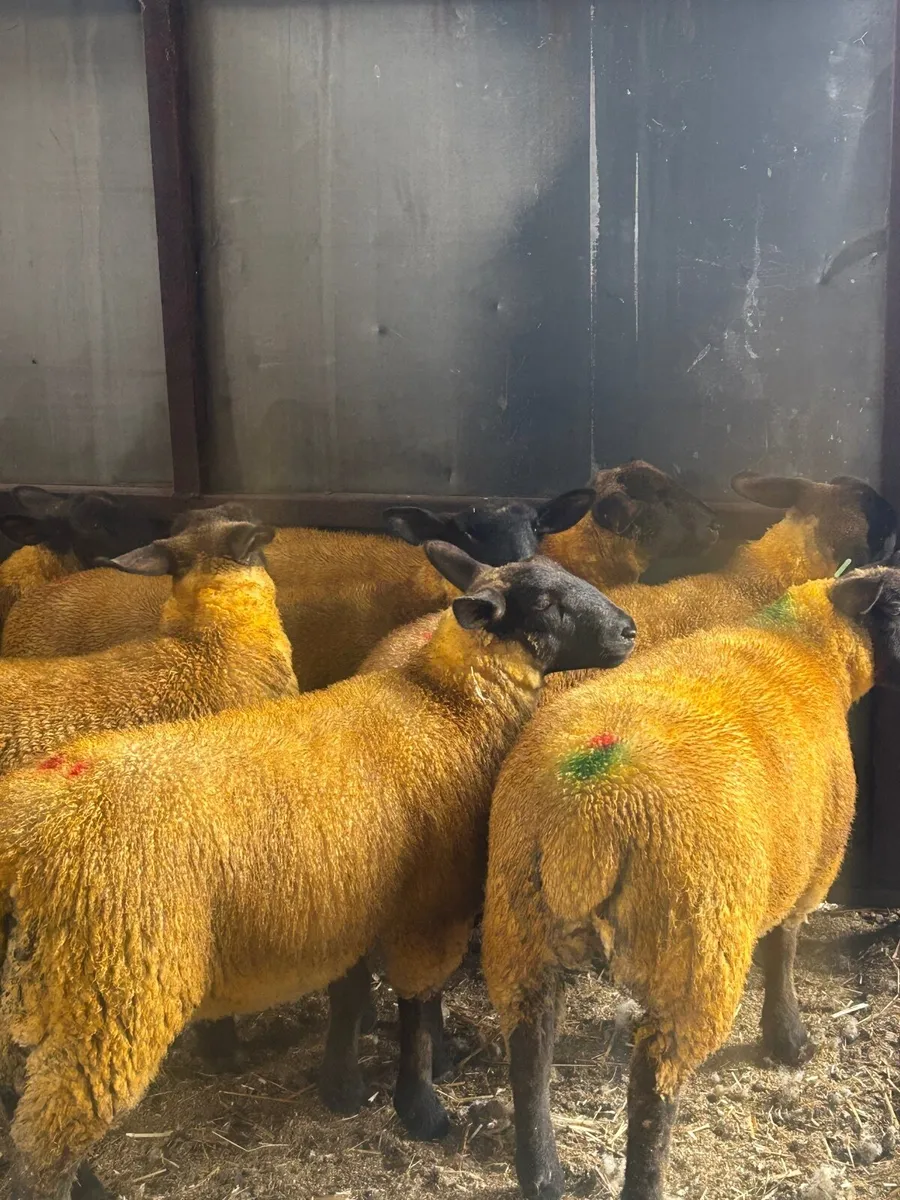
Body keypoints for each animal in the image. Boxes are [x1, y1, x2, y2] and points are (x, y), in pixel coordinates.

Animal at [0, 545, 637, 1200]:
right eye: (546, 602)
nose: (628, 631)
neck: (448, 711)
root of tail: (24, 839)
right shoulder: (427, 907)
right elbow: (416, 1007)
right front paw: (421, 1109)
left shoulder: (354, 899)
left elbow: (353, 996)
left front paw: (348, 1087)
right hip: (110, 990)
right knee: (47, 1140)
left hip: (47, 988)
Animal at [481, 564, 900, 1200]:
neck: (810, 650)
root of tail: (588, 813)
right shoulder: (809, 867)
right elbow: (784, 949)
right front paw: (789, 1041)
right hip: (695, 947)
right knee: (653, 1092)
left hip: (518, 928)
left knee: (530, 1060)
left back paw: (545, 1175)